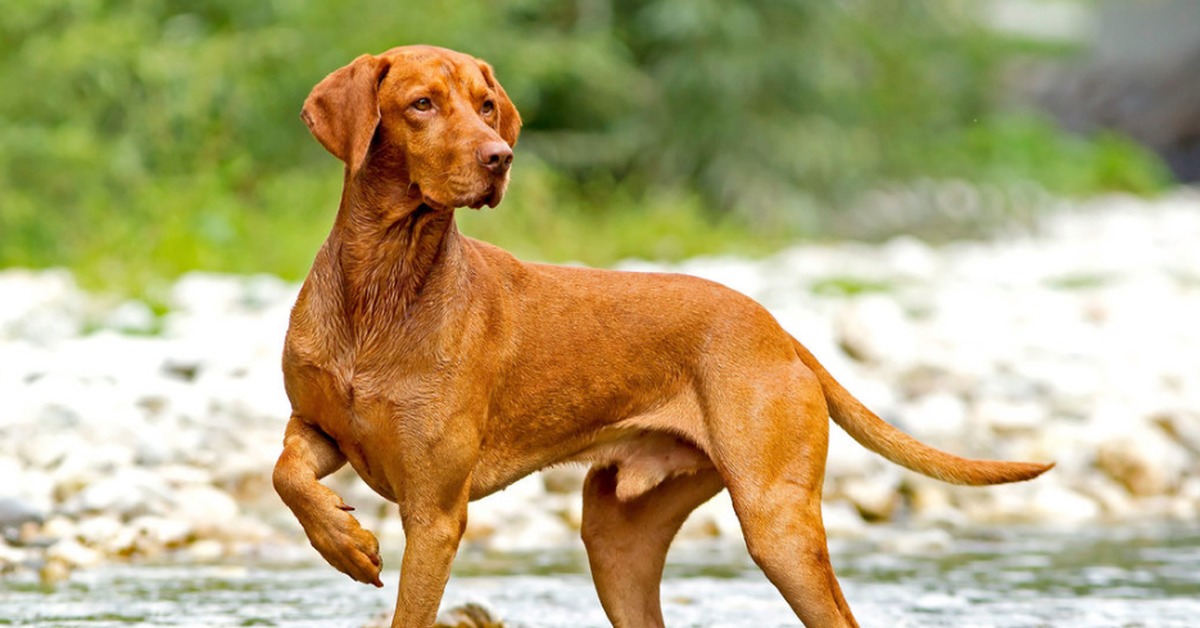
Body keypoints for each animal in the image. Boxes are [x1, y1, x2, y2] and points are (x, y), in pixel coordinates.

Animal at [272, 45, 1051, 628]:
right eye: (422, 104)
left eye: (486, 105)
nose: (500, 157)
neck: (382, 287)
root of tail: (779, 330)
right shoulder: (320, 427)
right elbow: (285, 475)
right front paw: (343, 542)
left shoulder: (435, 512)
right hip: (617, 538)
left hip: (776, 524)